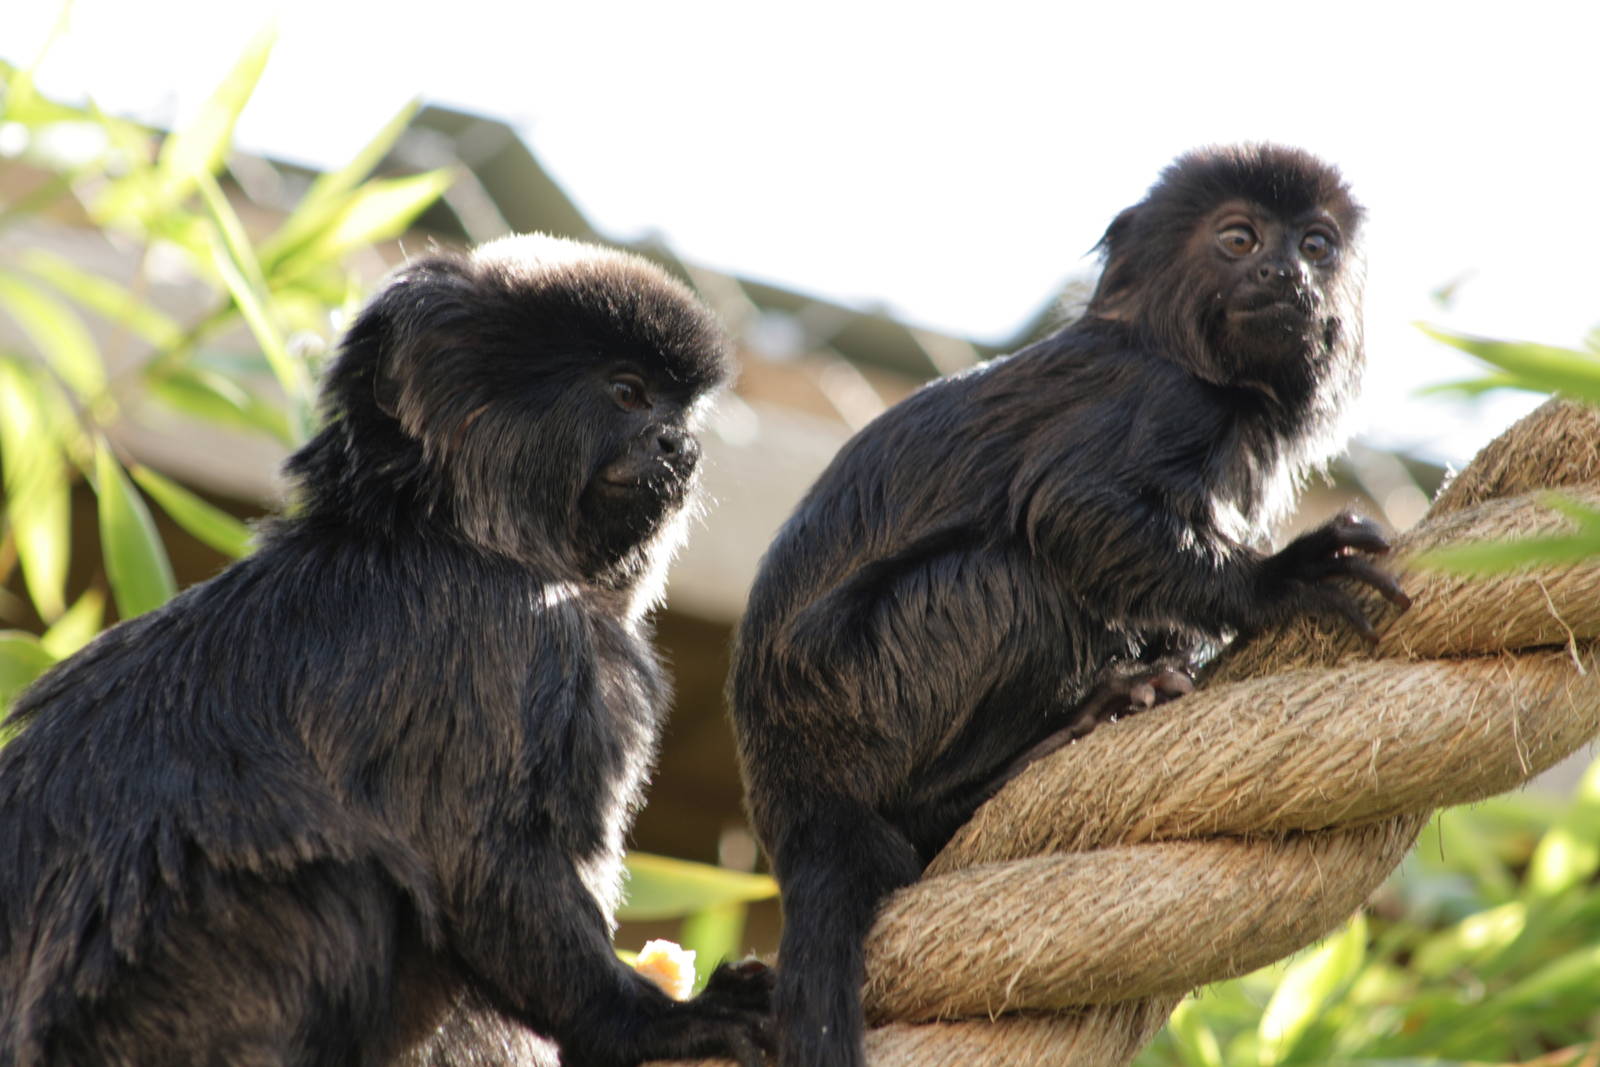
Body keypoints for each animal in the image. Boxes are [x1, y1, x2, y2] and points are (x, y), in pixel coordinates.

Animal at [0, 235, 773, 1067]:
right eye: (629, 392)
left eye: (678, 409)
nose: (678, 444)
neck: (441, 530)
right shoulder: (506, 635)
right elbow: (483, 861)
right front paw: (653, 1020)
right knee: (347, 885)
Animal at [727, 144, 1411, 1067]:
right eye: (1239, 238)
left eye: (1316, 245)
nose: (1284, 273)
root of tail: (789, 789)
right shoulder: (1159, 394)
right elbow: (1071, 508)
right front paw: (1282, 579)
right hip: (868, 694)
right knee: (1022, 581)